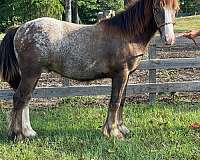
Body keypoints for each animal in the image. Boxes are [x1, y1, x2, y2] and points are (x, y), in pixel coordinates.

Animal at [0, 0, 179, 140]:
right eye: (156, 8)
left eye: (175, 9)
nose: (169, 39)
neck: (126, 34)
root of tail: (20, 28)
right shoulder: (120, 75)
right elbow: (115, 102)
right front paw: (113, 132)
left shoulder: (127, 76)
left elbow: (121, 101)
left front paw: (121, 128)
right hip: (31, 75)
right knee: (19, 99)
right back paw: (17, 135)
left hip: (32, 76)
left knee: (26, 100)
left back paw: (28, 132)